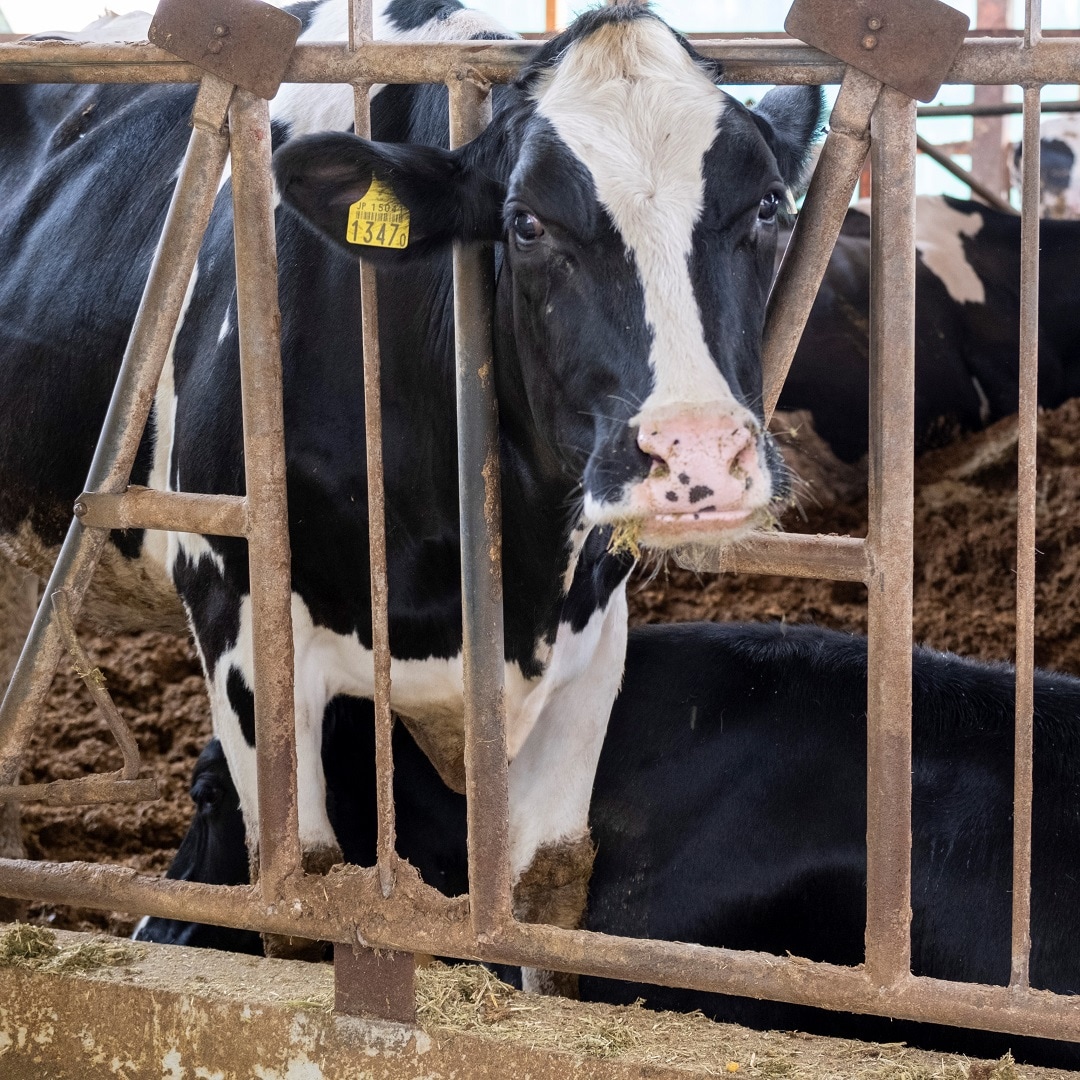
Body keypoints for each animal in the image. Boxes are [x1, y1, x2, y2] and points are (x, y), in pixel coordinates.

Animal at [0, 0, 816, 967]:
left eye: (769, 205)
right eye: (526, 223)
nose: (696, 457)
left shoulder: (591, 639)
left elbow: (546, 898)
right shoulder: (236, 609)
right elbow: (298, 897)